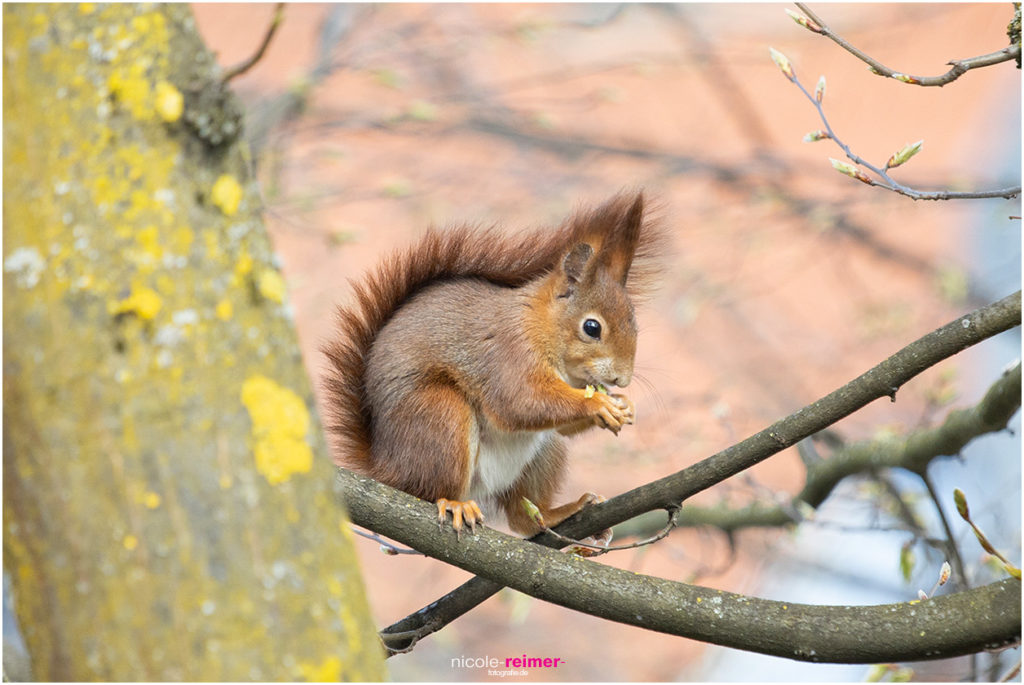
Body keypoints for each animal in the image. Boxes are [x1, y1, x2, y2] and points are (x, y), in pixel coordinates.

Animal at [323, 189, 659, 536]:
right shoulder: (508, 353)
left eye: (634, 323)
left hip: (543, 453)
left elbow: (560, 425)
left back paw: (559, 512)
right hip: (439, 416)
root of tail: (387, 470)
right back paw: (453, 503)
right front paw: (599, 404)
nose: (622, 379)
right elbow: (519, 402)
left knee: (523, 516)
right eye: (592, 327)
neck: (541, 325)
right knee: (429, 490)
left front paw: (625, 405)